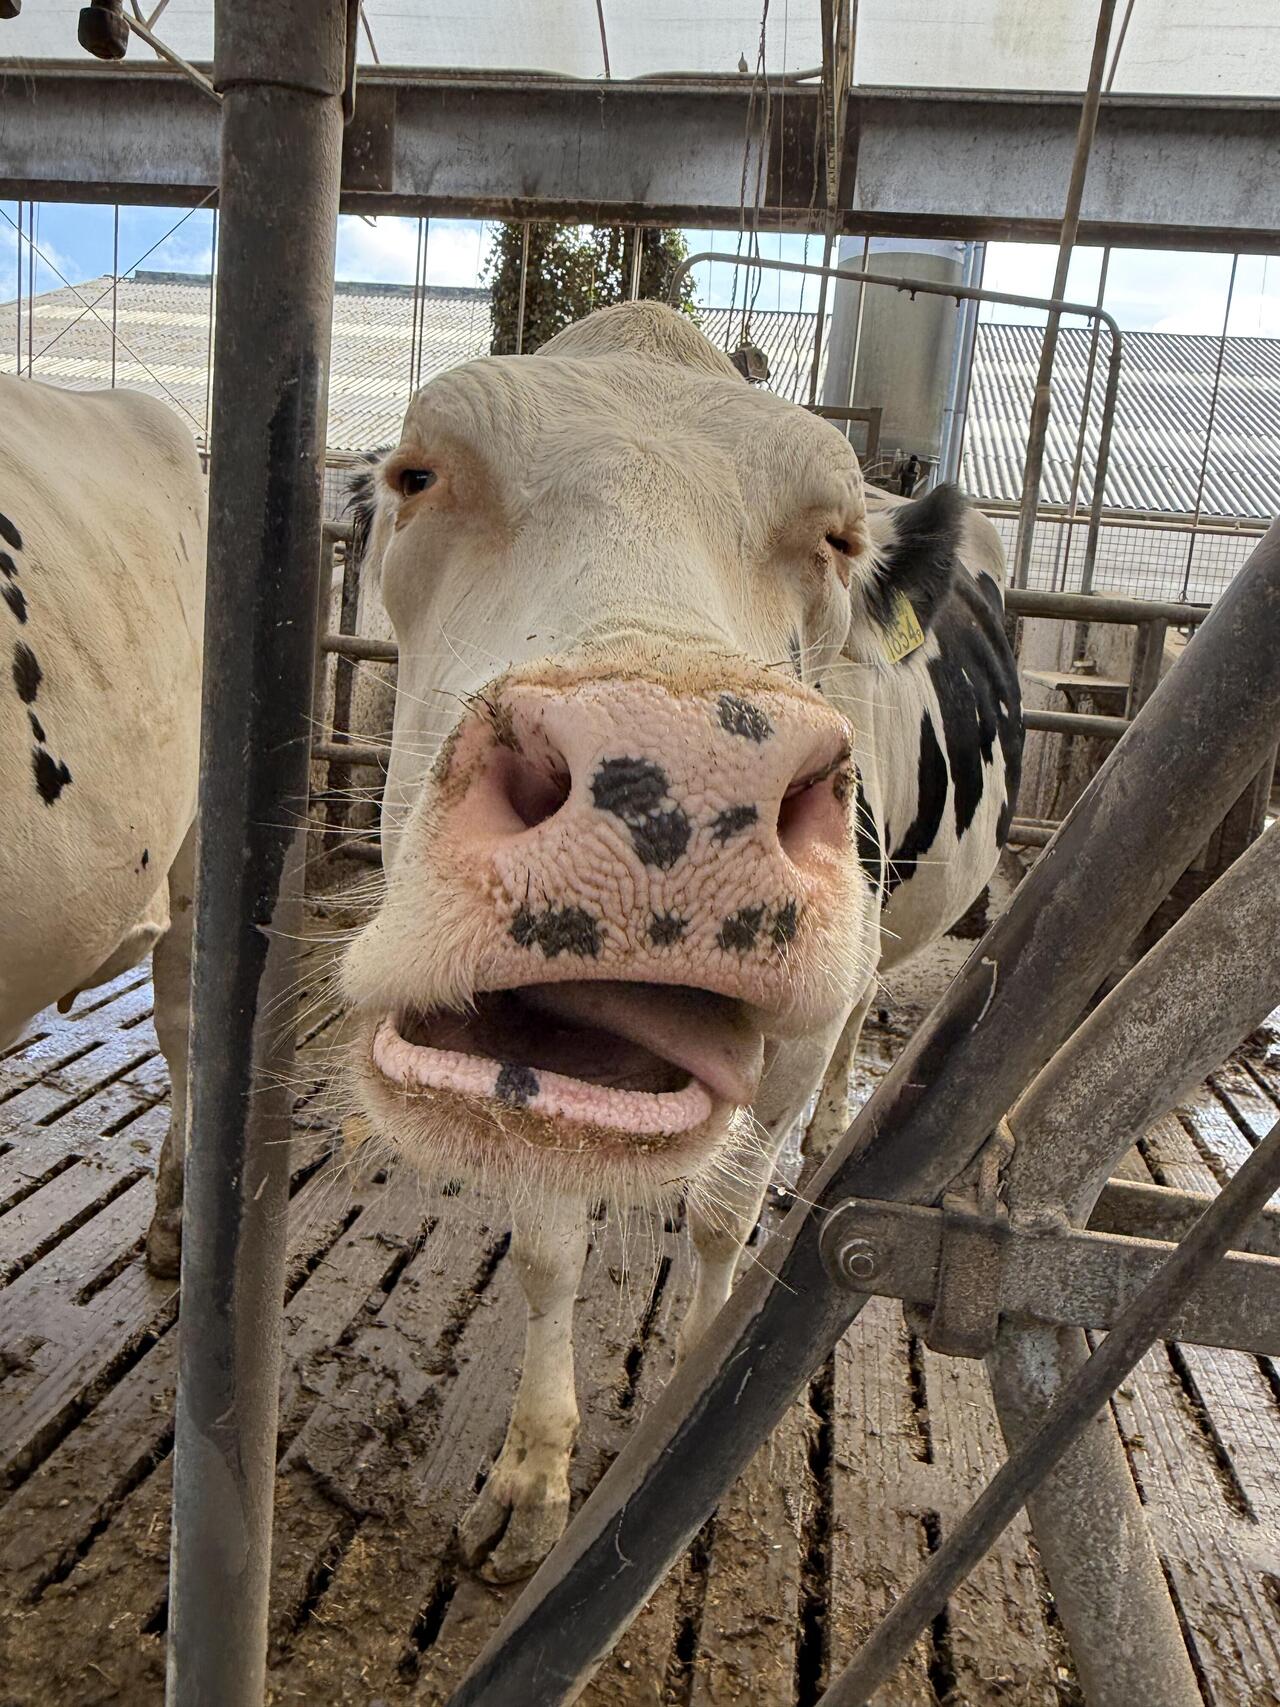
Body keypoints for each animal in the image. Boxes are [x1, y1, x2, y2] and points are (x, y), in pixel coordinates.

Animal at [338, 300, 1022, 1582]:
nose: (670, 778)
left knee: (851, 1027)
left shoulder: (796, 1037)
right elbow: (548, 1250)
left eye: (836, 538)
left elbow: (720, 1214)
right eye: (417, 474)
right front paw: (531, 1473)